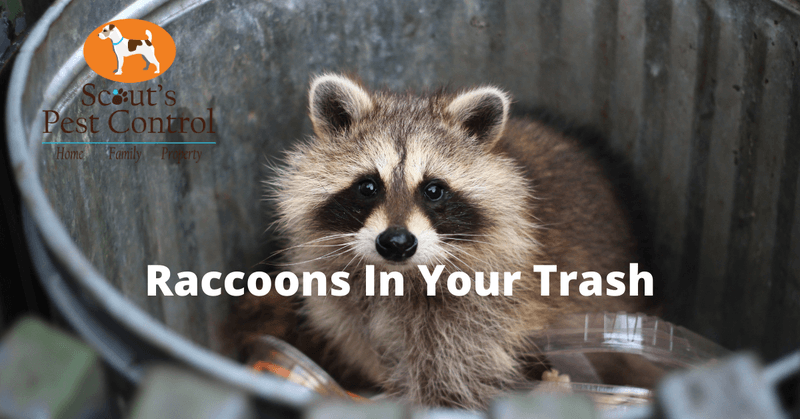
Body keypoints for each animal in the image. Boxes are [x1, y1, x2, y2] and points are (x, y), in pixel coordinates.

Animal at [234, 74, 653, 409]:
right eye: (367, 187)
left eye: (433, 190)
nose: (397, 242)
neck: (397, 274)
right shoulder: (342, 301)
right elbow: (365, 344)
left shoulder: (483, 311)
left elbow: (451, 381)